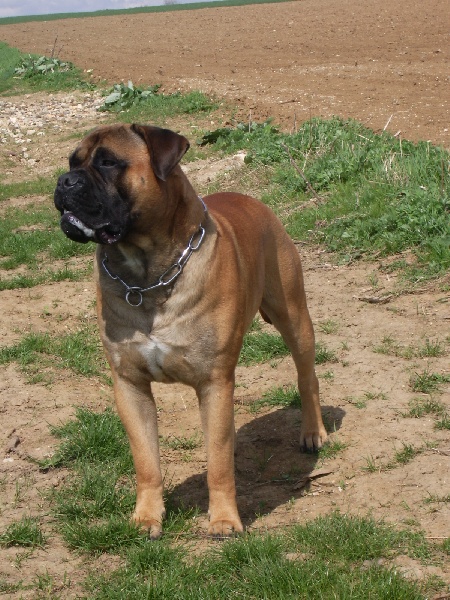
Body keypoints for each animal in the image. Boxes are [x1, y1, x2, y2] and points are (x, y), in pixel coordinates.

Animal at [54, 123, 326, 540]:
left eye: (108, 162)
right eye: (73, 162)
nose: (64, 181)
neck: (146, 274)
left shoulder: (214, 380)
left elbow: (218, 464)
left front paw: (225, 519)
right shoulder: (130, 385)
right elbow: (146, 460)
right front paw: (147, 516)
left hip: (294, 317)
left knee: (306, 375)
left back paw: (313, 433)